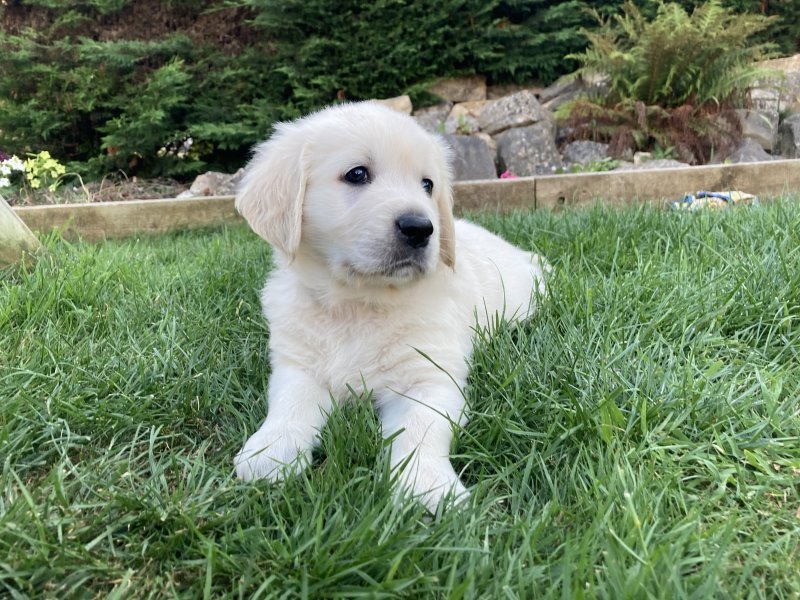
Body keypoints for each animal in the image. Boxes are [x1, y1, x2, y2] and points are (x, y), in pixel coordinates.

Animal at [231, 101, 552, 508]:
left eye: (427, 185)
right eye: (357, 174)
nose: (421, 228)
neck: (359, 301)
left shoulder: (431, 376)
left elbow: (420, 429)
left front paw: (427, 486)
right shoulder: (297, 365)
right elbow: (290, 404)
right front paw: (271, 452)